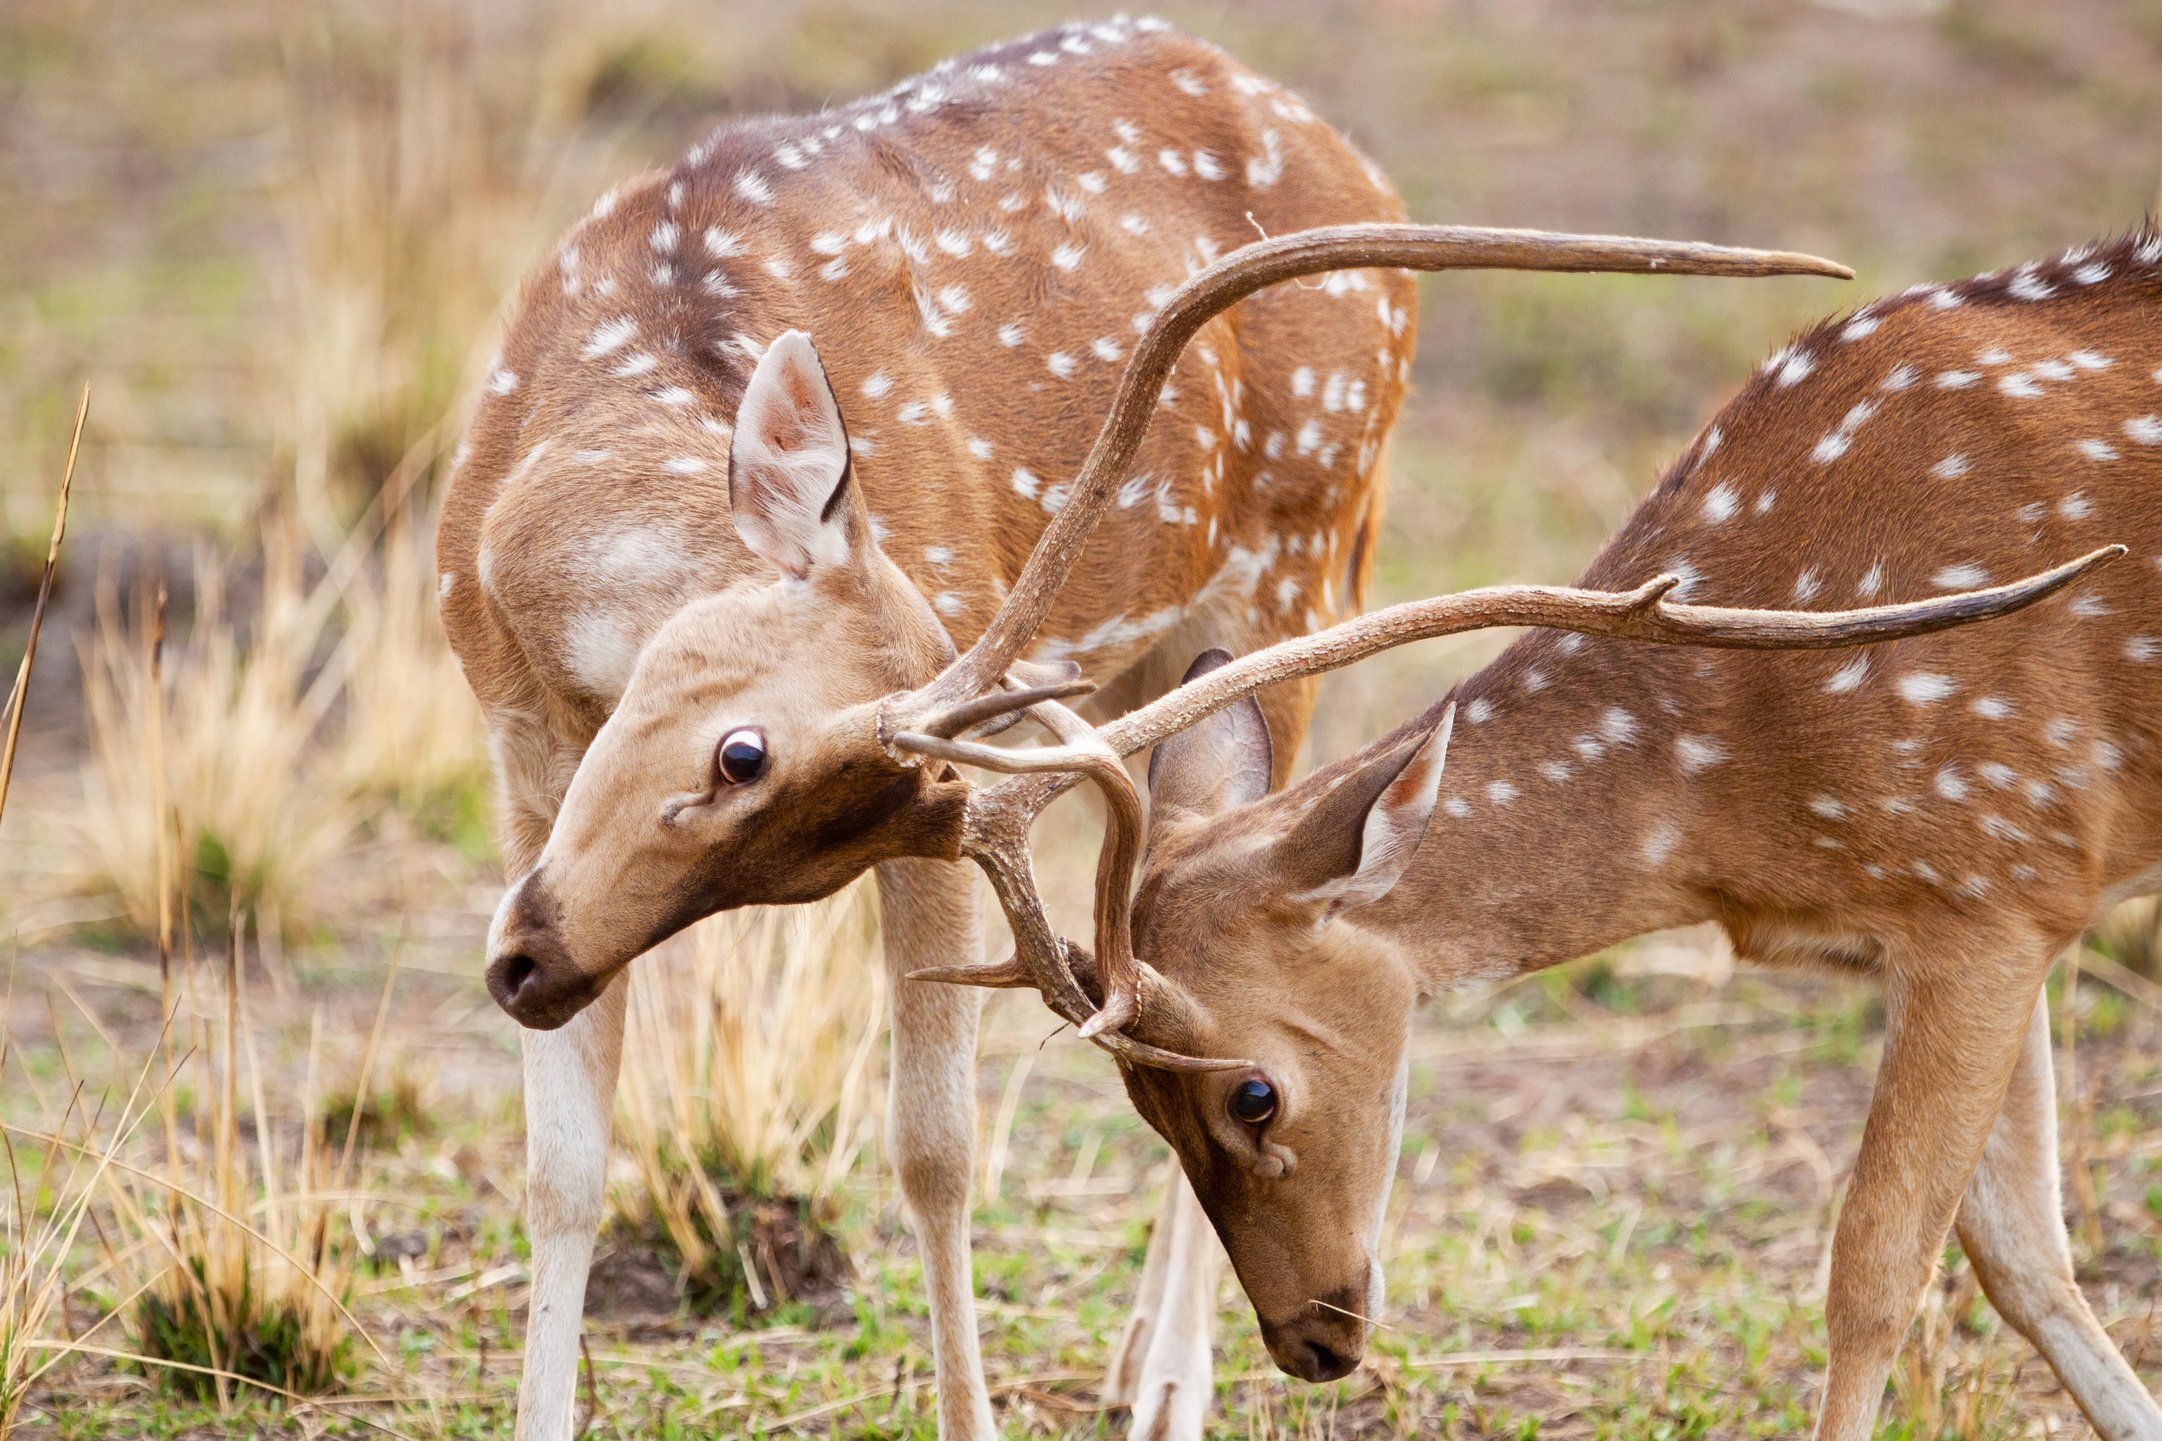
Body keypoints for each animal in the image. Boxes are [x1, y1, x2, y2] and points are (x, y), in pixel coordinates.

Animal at [434, 16, 1859, 1434]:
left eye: (747, 756)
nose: (527, 967)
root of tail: (1349, 155)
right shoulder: (518, 748)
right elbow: (562, 1163)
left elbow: (933, 1150)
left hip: (1301, 561)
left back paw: (1171, 1381)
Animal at [908, 231, 2162, 1434]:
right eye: (1140, 1100)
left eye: (1250, 1093)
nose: (1308, 1342)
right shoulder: (1986, 912)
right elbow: (2022, 1256)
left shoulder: (1993, 868)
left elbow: (1873, 1270)